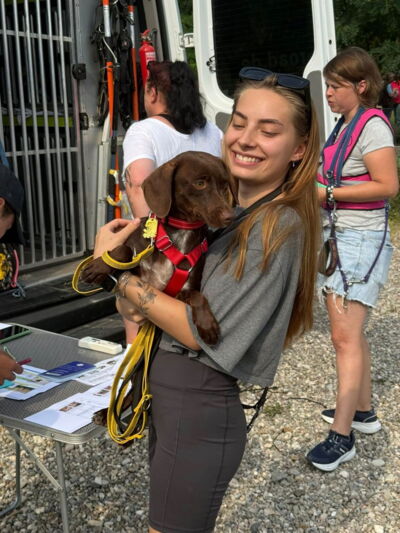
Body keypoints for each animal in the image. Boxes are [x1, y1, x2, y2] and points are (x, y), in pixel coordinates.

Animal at [81, 150, 236, 346]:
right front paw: (98, 267)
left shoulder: (179, 293)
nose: (230, 216)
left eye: (224, 185)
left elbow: (197, 296)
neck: (180, 232)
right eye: (200, 183)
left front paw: (207, 324)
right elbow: (124, 250)